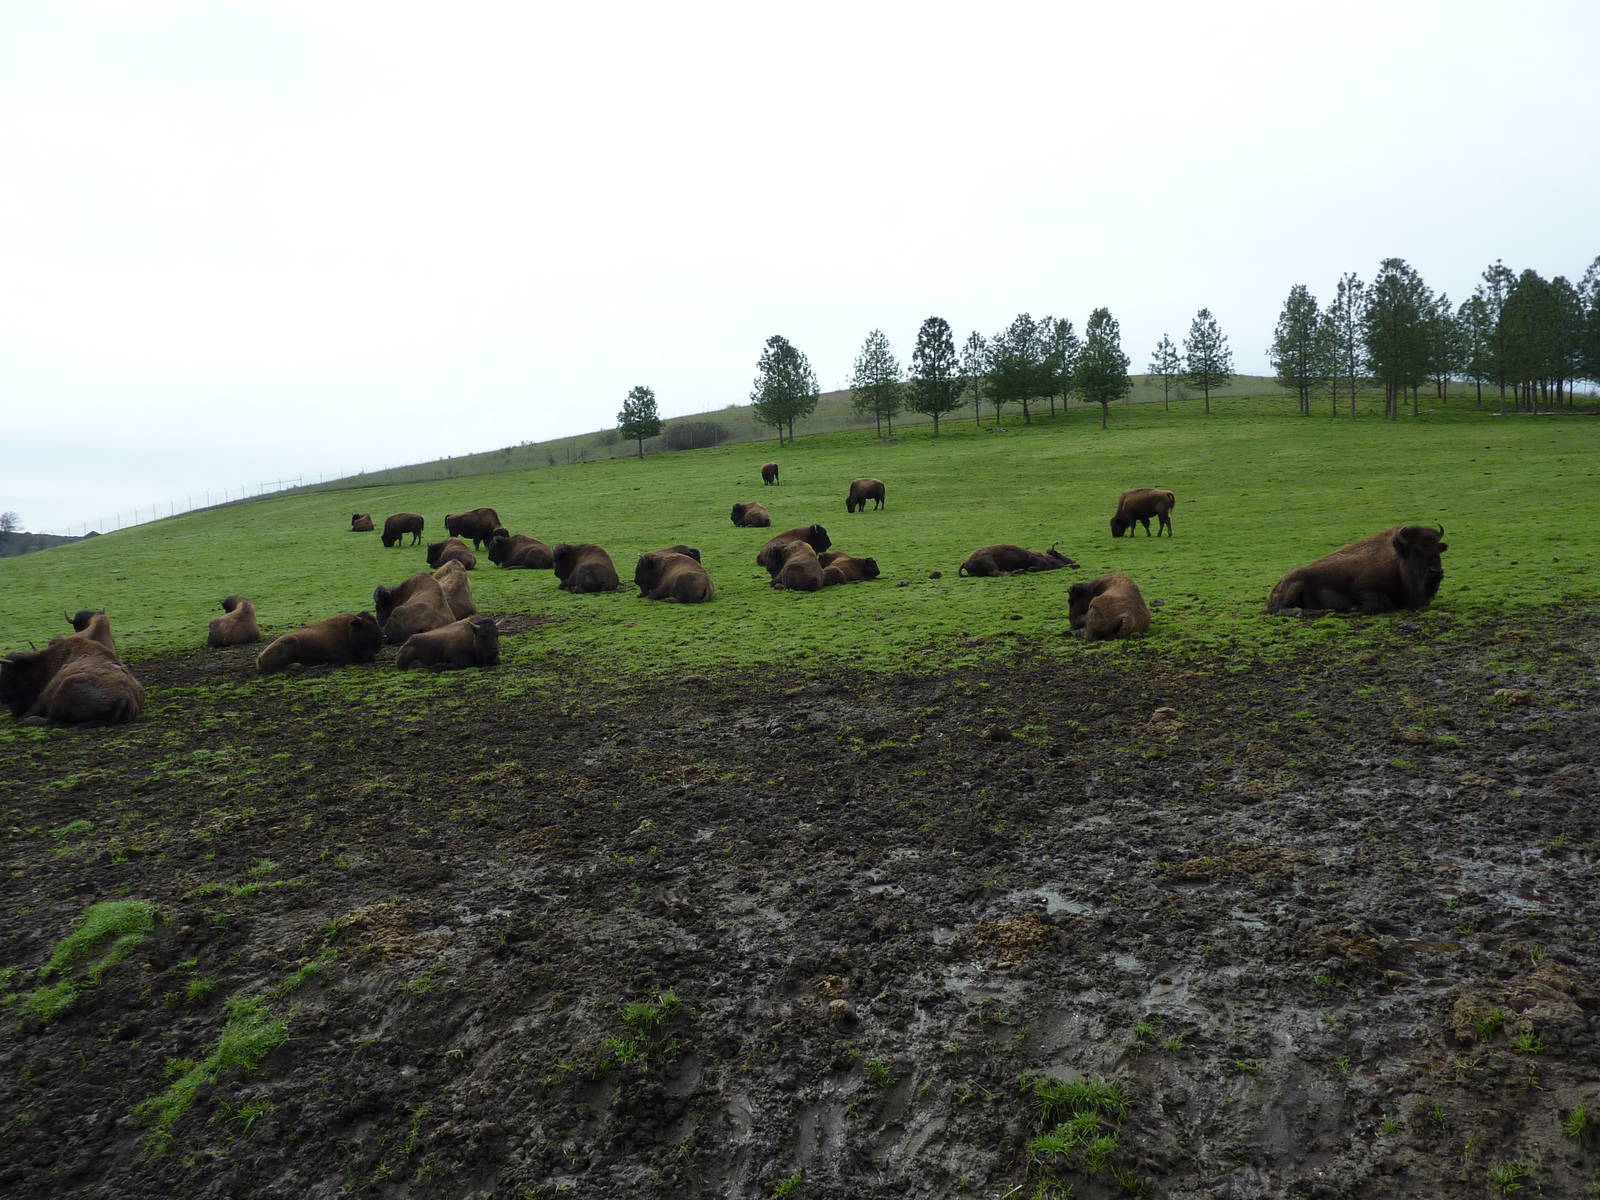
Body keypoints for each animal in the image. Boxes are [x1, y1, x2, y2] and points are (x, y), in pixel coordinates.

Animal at [1, 611, 145, 724]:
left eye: (8, 673)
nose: (4, 698)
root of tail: (124, 696)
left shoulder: (43, 697)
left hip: (65, 686)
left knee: (51, 720)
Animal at [1267, 525, 1448, 615]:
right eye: (1415, 551)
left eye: (1437, 551)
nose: (1436, 572)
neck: (1397, 563)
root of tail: (1276, 586)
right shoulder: (1366, 590)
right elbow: (1380, 604)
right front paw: (1354, 608)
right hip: (1295, 585)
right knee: (1284, 610)